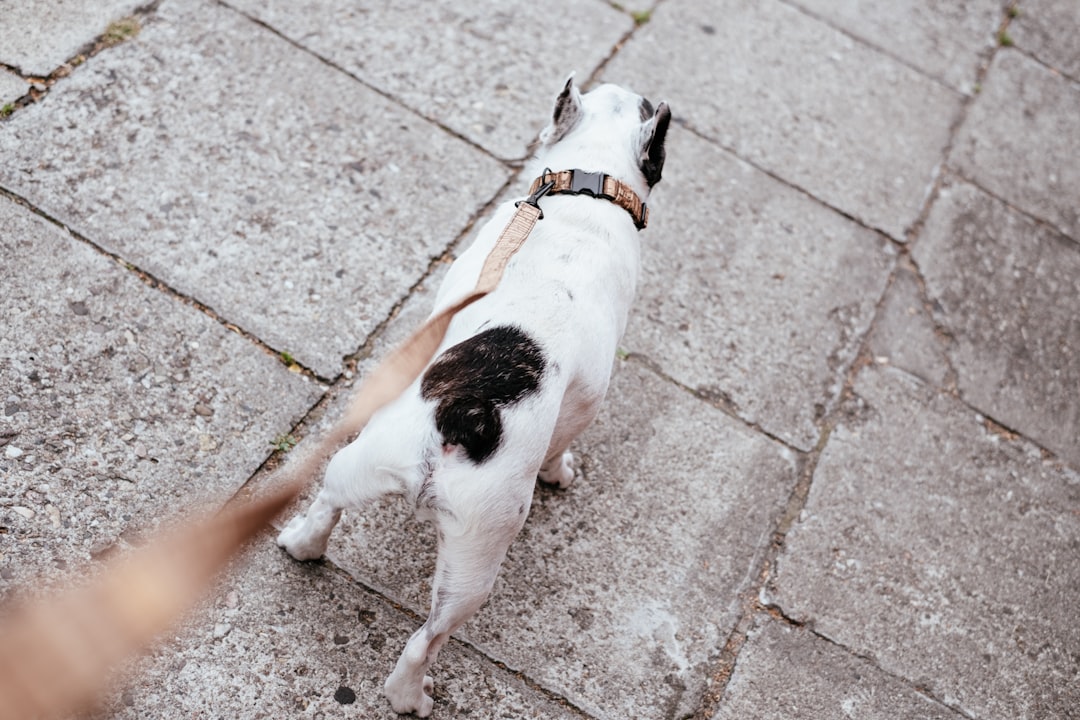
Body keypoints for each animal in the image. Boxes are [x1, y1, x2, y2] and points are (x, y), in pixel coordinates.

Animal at [278, 76, 665, 716]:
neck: (589, 183)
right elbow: (563, 442)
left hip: (367, 460)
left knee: (329, 503)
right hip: (484, 545)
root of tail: (466, 413)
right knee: (428, 637)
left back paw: (302, 545)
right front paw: (561, 472)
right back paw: (409, 696)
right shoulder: (588, 398)